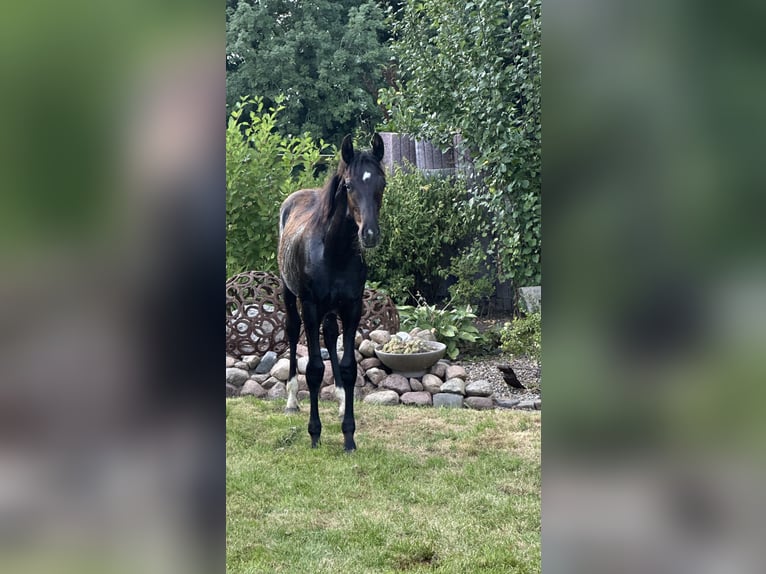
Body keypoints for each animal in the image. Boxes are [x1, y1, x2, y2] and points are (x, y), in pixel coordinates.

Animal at [278, 133, 385, 452]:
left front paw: (348, 435)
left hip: (330, 310)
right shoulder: (311, 306)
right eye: (348, 185)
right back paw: (291, 400)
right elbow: (314, 369)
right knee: (292, 331)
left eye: (382, 183)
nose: (369, 234)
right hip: (290, 295)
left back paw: (339, 400)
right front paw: (315, 433)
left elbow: (349, 368)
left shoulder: (352, 307)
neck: (333, 252)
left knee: (330, 334)